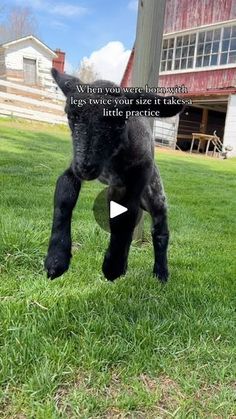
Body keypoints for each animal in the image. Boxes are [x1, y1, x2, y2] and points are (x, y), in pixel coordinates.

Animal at [44, 69, 184, 282]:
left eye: (120, 121)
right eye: (70, 116)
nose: (86, 168)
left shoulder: (139, 173)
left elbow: (125, 217)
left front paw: (113, 267)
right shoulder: (73, 168)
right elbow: (64, 197)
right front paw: (56, 260)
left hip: (153, 192)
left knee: (160, 230)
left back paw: (161, 272)